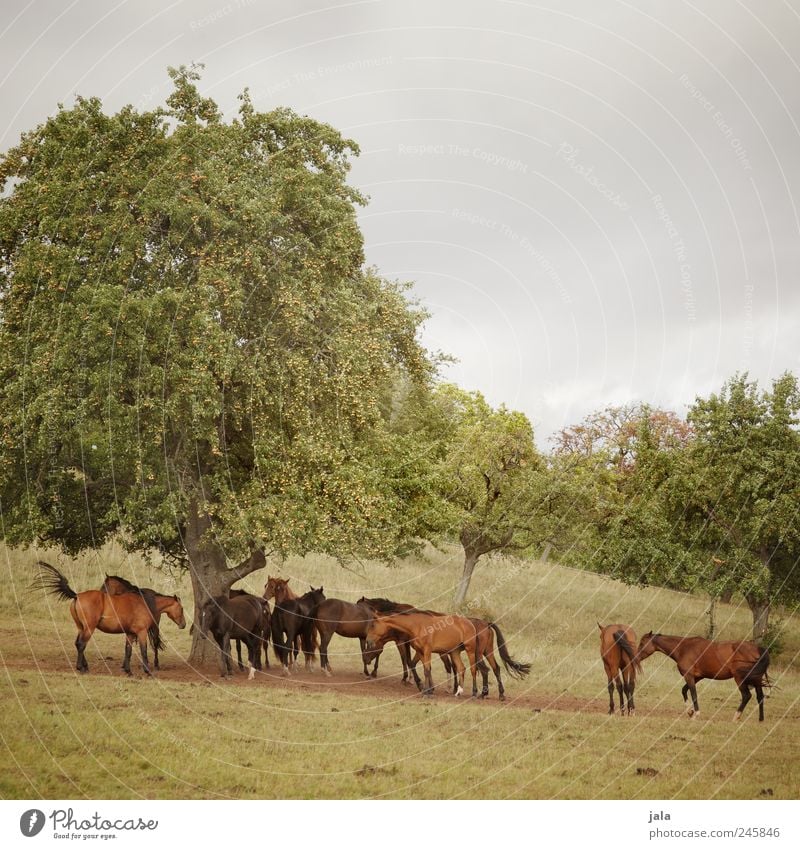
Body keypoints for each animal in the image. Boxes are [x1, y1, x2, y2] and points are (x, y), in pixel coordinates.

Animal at [34, 564, 186, 676]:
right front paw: (147, 671)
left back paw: (84, 666)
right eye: (182, 608)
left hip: (81, 627)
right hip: (89, 628)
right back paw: (81, 668)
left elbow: (128, 651)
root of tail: (77, 595)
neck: (145, 602)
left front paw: (128, 671)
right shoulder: (141, 632)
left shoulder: (130, 634)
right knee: (81, 644)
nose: (183, 625)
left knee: (77, 643)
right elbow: (143, 650)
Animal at [636, 628, 768, 724]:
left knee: (746, 696)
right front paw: (690, 711)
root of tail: (758, 649)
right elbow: (684, 690)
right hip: (756, 680)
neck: (683, 648)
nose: (635, 657)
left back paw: (736, 717)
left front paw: (696, 714)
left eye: (642, 643)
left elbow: (693, 694)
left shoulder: (689, 676)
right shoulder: (698, 677)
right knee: (760, 696)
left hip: (740, 679)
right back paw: (760, 720)